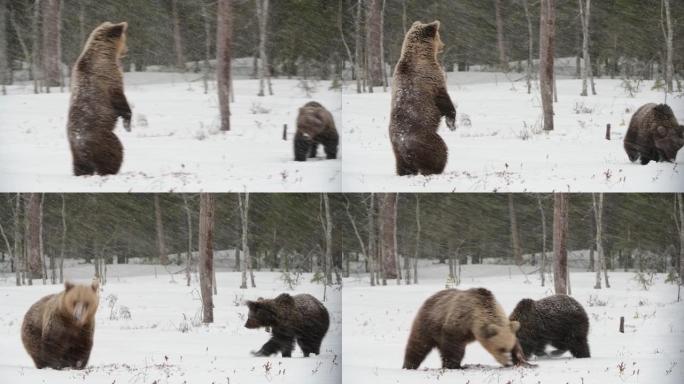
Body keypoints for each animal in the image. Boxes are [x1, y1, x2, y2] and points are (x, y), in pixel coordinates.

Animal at [67, 21, 132, 175]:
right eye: (124, 38)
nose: (127, 49)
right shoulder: (109, 76)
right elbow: (120, 99)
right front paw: (128, 123)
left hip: (75, 152)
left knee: (80, 166)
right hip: (104, 138)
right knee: (115, 153)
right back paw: (112, 170)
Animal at [388, 20, 456, 176]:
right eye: (438, 36)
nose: (443, 45)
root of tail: (403, 145)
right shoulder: (432, 80)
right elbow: (445, 101)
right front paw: (452, 123)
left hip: (397, 152)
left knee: (402, 166)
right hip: (426, 139)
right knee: (440, 151)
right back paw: (437, 169)